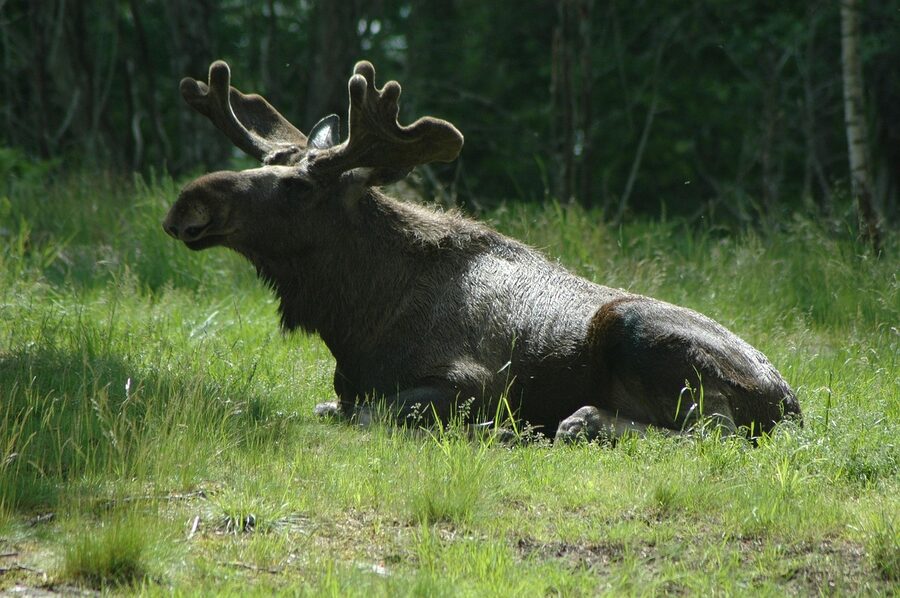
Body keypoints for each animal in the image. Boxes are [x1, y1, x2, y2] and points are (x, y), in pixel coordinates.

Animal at [163, 60, 801, 442]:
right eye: (267, 165)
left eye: (299, 187)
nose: (188, 205)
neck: (354, 318)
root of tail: (793, 404)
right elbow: (335, 406)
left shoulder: (479, 384)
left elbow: (371, 413)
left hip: (636, 327)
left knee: (713, 430)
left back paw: (584, 419)